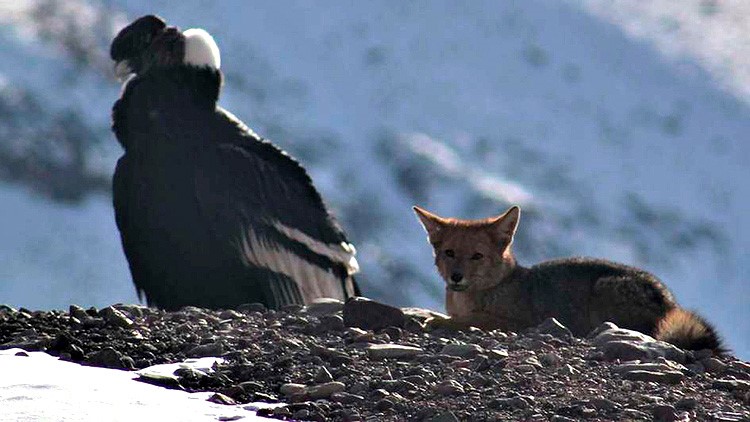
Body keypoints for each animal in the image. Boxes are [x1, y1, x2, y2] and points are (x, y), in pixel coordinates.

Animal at [413, 205, 726, 355]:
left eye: (477, 256)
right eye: (449, 253)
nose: (456, 277)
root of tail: (669, 301)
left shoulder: (515, 322)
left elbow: (466, 320)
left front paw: (437, 320)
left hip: (603, 291)